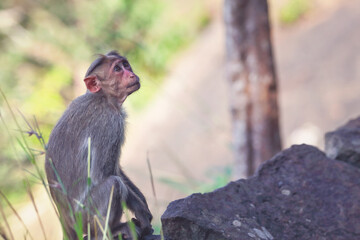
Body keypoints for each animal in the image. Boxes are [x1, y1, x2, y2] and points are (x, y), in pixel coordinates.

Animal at [44, 51, 153, 240]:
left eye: (125, 64)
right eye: (117, 69)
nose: (132, 74)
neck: (102, 97)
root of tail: (68, 227)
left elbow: (117, 170)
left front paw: (143, 203)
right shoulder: (110, 124)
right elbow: (103, 174)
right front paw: (141, 211)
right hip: (87, 217)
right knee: (113, 185)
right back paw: (112, 231)